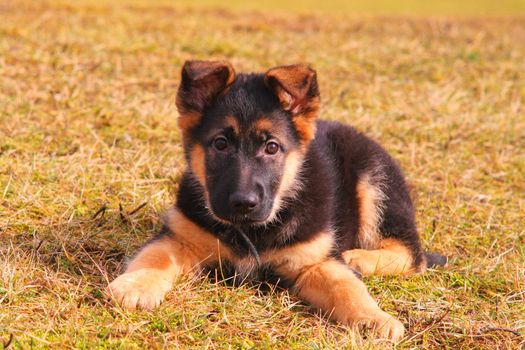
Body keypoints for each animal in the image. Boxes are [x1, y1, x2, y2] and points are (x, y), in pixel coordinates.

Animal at [108, 60, 444, 342]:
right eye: (220, 143)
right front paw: (134, 285)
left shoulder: (315, 262)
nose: (243, 203)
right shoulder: (181, 239)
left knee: (413, 255)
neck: (251, 231)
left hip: (375, 182)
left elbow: (347, 288)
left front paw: (374, 318)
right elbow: (155, 258)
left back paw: (358, 258)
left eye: (272, 147)